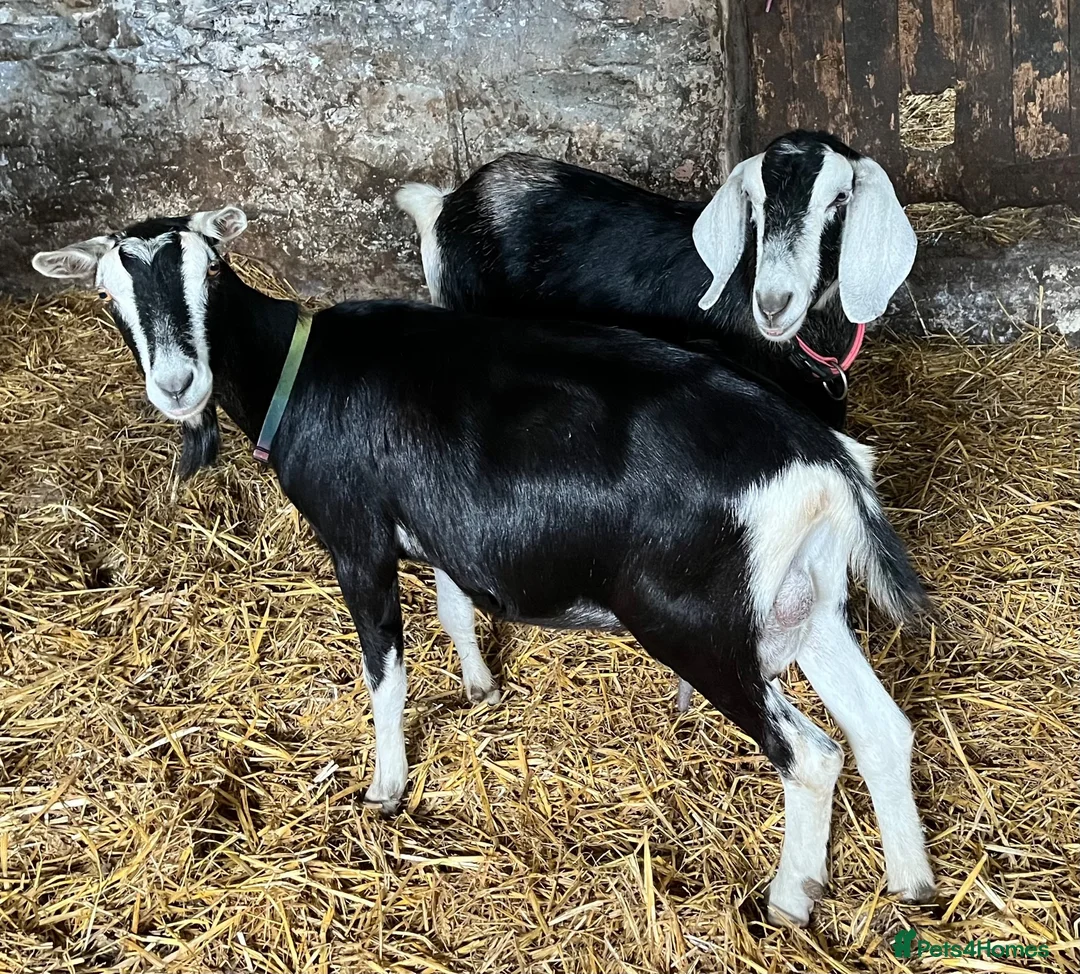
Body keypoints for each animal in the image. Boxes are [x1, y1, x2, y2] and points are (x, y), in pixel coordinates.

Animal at [34, 207, 935, 926]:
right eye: (109, 294)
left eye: (213, 269)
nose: (177, 383)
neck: (300, 369)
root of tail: (824, 460)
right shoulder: (437, 521)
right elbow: (456, 607)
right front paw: (479, 687)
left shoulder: (356, 536)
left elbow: (385, 672)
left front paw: (387, 787)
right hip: (807, 605)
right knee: (881, 729)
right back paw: (912, 885)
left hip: (698, 624)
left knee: (811, 756)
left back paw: (790, 898)